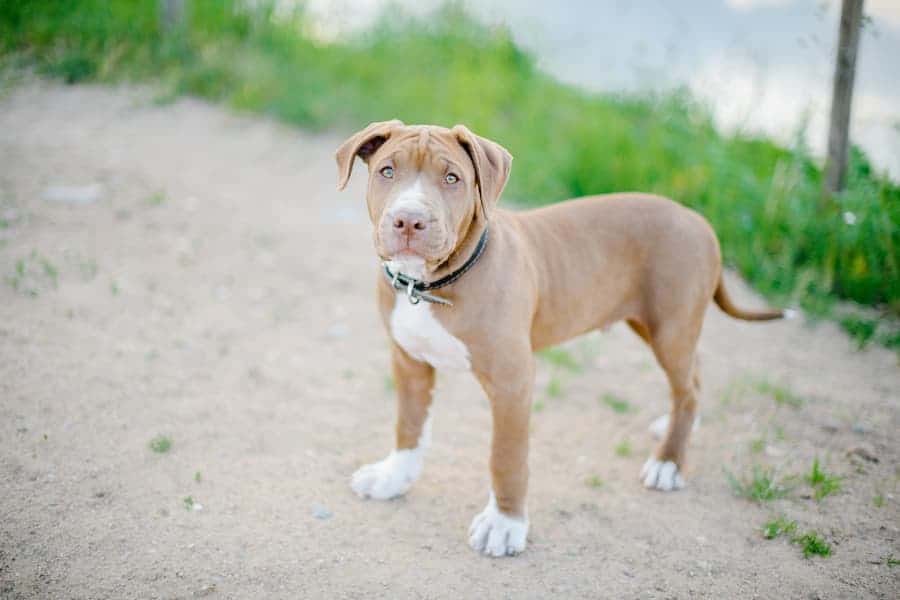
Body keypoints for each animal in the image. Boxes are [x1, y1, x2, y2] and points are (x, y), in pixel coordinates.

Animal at [334, 120, 784, 556]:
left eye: (452, 178)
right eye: (387, 171)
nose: (409, 220)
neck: (429, 285)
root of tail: (698, 220)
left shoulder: (512, 382)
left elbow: (506, 456)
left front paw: (505, 524)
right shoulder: (409, 362)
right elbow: (408, 427)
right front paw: (393, 477)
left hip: (670, 326)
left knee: (686, 388)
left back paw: (668, 462)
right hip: (659, 325)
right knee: (693, 377)